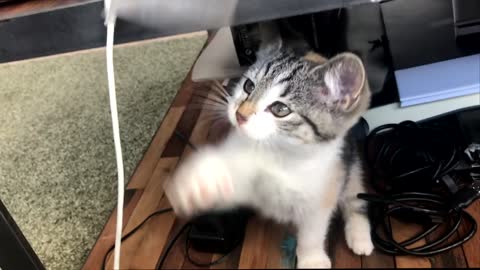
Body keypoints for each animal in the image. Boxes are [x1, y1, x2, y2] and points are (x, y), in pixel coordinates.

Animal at [165, 38, 376, 268]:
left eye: (280, 109)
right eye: (248, 86)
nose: (240, 115)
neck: (278, 154)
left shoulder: (323, 188)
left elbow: (313, 230)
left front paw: (312, 259)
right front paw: (201, 181)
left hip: (351, 165)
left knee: (355, 196)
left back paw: (360, 237)